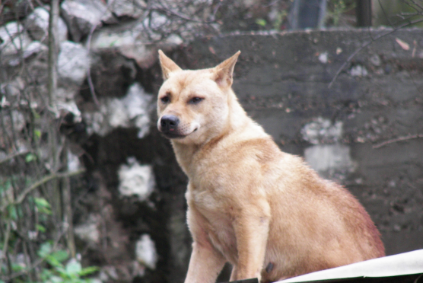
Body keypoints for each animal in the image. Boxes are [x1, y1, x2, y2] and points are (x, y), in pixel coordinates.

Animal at [157, 50, 386, 282]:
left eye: (195, 99)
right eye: (165, 98)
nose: (167, 120)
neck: (216, 149)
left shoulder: (251, 218)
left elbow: (247, 272)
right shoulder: (205, 246)